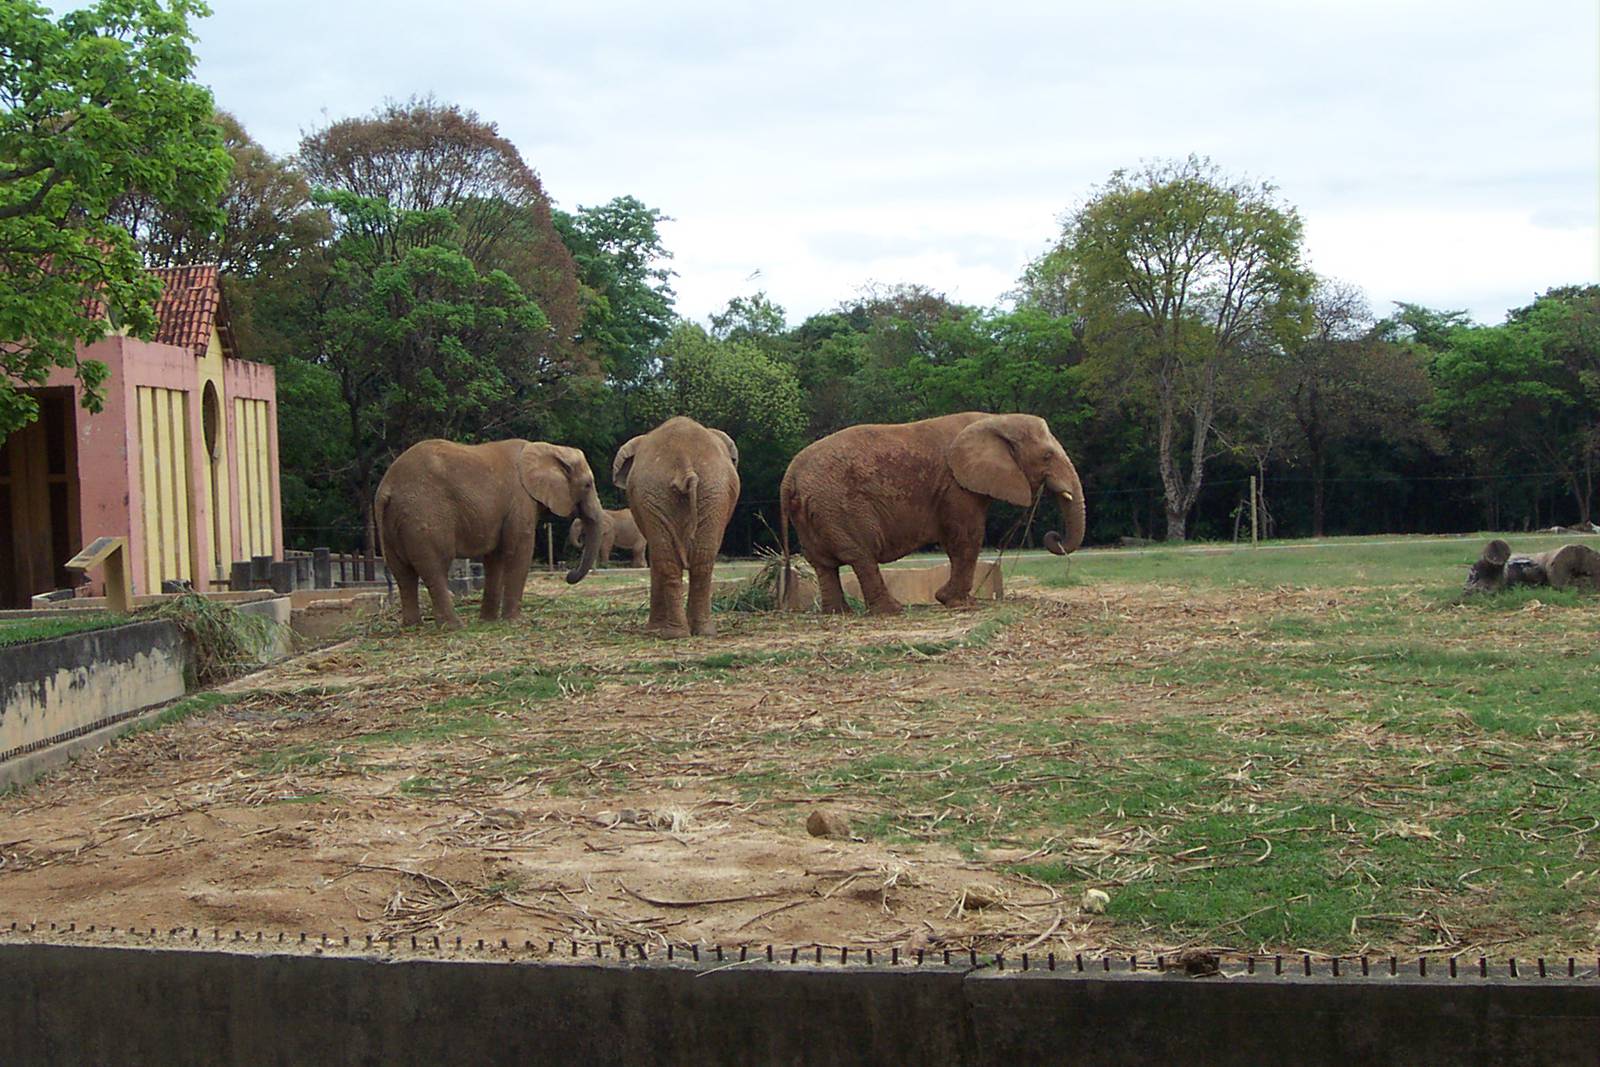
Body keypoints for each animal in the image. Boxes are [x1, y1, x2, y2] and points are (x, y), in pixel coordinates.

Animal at [377, 438, 603, 629]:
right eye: (587, 485)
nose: (568, 575)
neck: (551, 448)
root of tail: (386, 488)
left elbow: (496, 558)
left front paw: (488, 621)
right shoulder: (520, 500)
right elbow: (518, 551)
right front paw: (515, 621)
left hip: (394, 524)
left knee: (403, 573)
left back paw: (412, 626)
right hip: (426, 516)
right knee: (435, 567)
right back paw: (454, 626)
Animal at [612, 417, 740, 637]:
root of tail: (684, 460)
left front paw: (653, 629)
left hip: (667, 492)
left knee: (669, 560)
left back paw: (675, 633)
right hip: (710, 491)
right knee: (702, 560)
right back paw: (697, 632)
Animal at [779, 412, 1085, 615]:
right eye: (1047, 456)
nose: (1054, 537)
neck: (995, 420)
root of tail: (789, 477)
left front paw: (950, 600)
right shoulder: (956, 485)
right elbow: (966, 537)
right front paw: (959, 604)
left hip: (813, 511)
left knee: (823, 564)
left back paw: (838, 613)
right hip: (840, 506)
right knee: (861, 556)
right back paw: (893, 610)